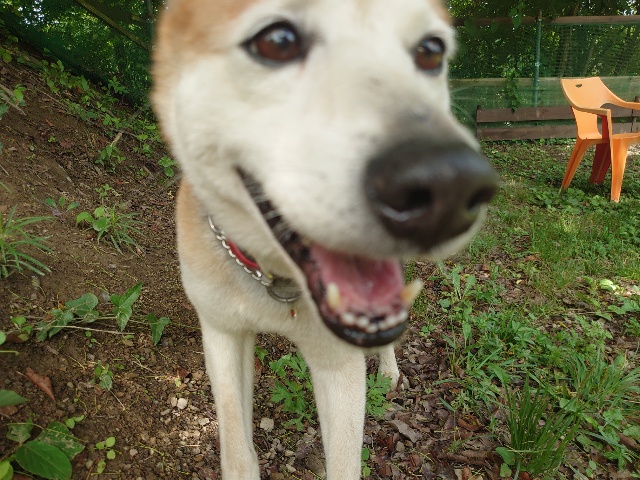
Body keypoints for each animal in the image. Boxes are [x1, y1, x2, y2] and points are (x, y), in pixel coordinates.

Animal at [151, 0, 498, 478]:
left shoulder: (339, 367)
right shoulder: (221, 332)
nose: (450, 183)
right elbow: (237, 451)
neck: (274, 280)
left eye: (431, 50)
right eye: (277, 41)